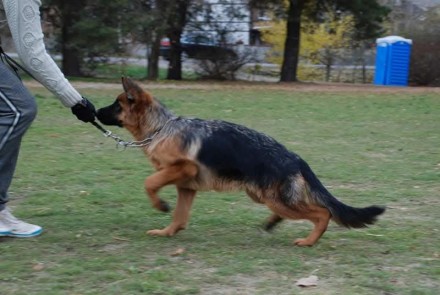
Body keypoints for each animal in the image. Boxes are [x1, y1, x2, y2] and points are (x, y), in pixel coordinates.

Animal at [97, 77, 384, 246]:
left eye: (117, 104)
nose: (94, 111)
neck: (161, 128)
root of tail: (295, 157)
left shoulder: (183, 168)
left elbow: (150, 182)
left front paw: (160, 205)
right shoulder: (186, 187)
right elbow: (180, 216)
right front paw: (167, 232)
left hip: (273, 198)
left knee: (323, 213)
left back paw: (309, 241)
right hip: (262, 196)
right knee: (296, 212)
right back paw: (273, 223)